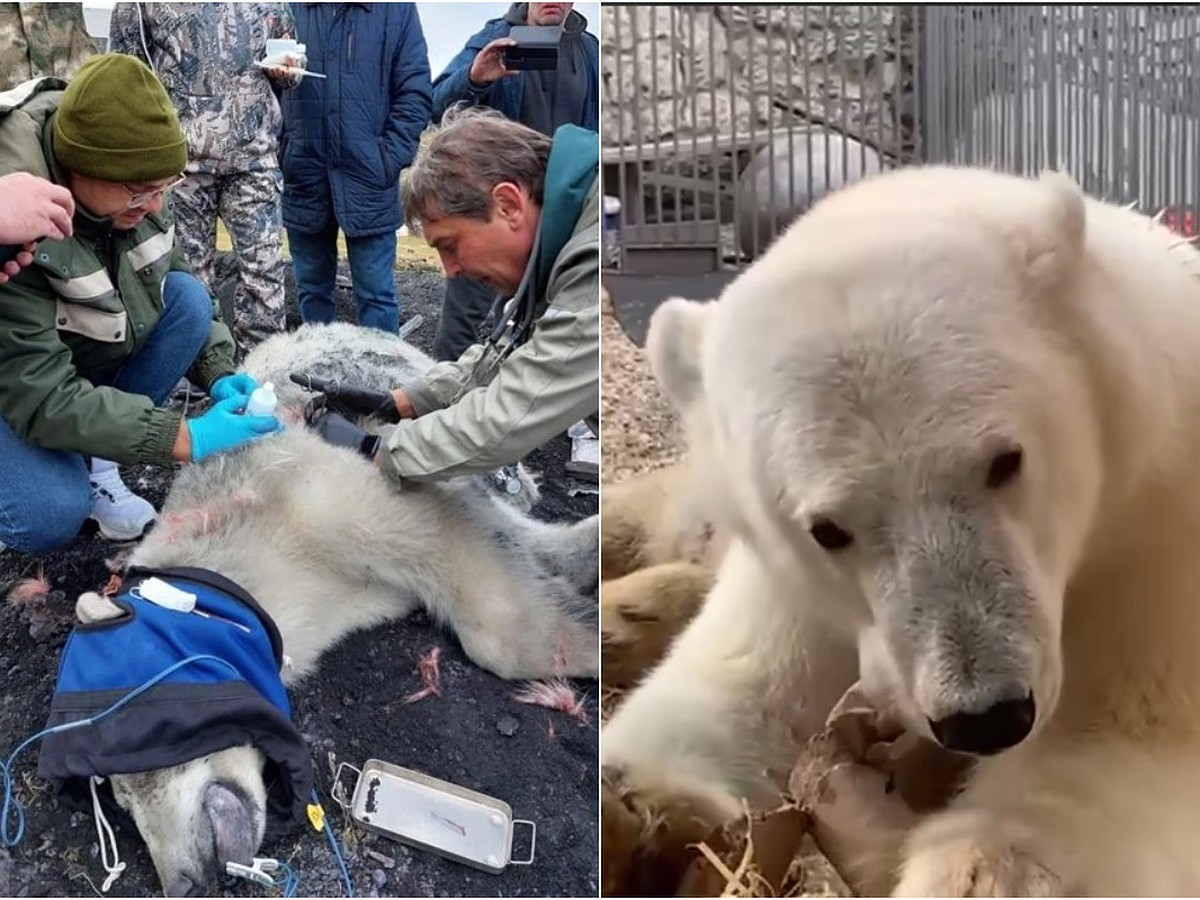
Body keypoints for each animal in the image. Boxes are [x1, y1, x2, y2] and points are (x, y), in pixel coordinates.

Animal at [609, 168, 1200, 897]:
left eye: (1005, 462)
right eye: (827, 529)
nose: (985, 715)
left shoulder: (1154, 541)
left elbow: (1115, 743)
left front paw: (973, 866)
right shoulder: (792, 581)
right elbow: (743, 688)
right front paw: (631, 807)